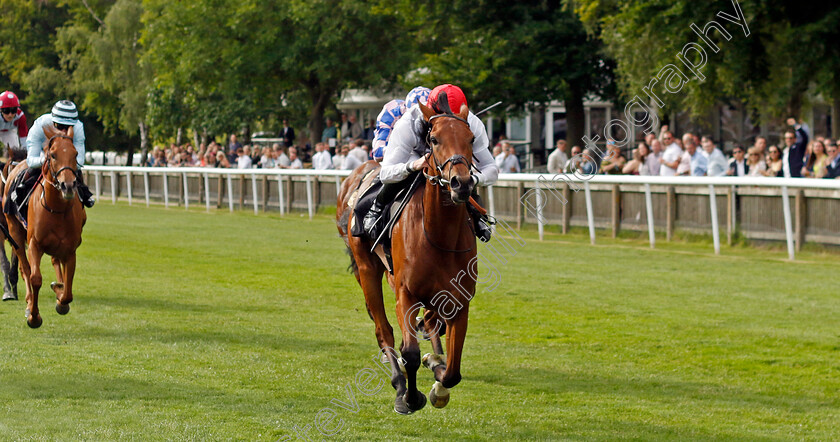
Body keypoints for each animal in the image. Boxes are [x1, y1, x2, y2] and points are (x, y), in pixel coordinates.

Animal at [4, 124, 87, 328]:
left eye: (75, 154)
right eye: (53, 155)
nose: (68, 185)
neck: (56, 209)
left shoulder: (70, 249)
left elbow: (68, 288)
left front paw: (60, 297)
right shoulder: (35, 244)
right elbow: (35, 278)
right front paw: (34, 316)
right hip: (14, 231)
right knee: (25, 268)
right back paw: (28, 301)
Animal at [336, 102, 480, 414]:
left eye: (472, 139)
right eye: (434, 139)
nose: (460, 183)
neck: (439, 235)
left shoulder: (459, 299)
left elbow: (453, 370)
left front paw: (438, 377)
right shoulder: (406, 292)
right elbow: (410, 352)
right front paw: (410, 397)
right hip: (367, 268)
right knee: (384, 330)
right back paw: (399, 381)